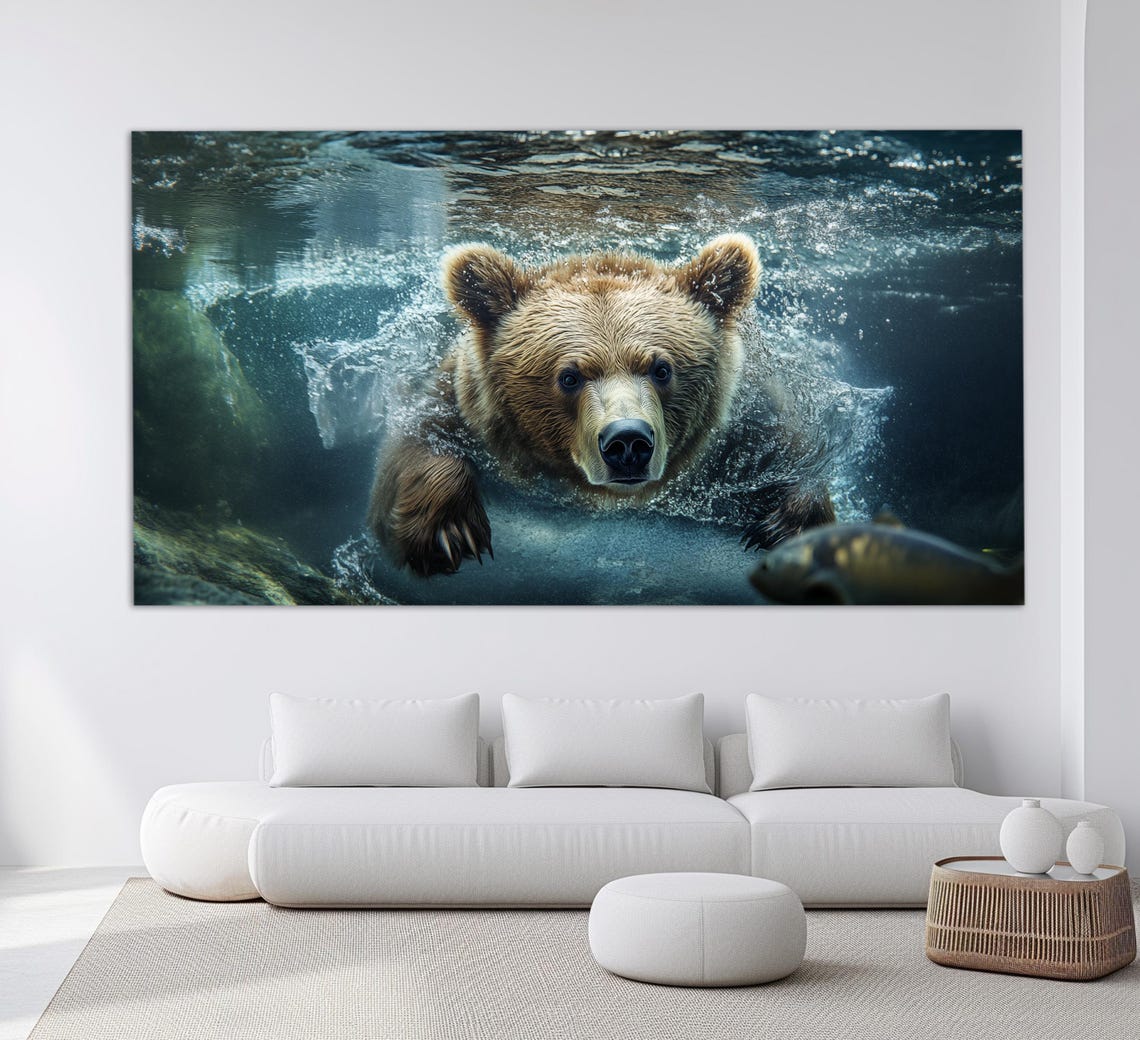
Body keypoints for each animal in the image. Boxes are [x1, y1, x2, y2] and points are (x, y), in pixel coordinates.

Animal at [368, 234, 835, 577]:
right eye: (569, 376)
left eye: (661, 368)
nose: (628, 442)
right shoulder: (461, 403)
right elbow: (417, 441)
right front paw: (448, 531)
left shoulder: (748, 429)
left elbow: (798, 456)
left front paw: (786, 526)